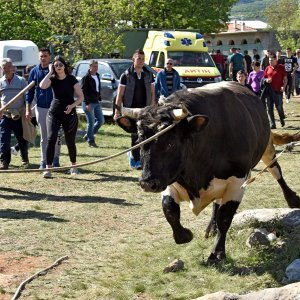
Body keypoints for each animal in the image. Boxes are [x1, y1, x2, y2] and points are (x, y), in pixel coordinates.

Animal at [116, 81, 298, 262]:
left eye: (171, 142)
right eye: (140, 140)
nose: (147, 183)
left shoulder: (237, 181)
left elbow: (225, 217)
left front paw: (217, 253)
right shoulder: (169, 179)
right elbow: (169, 209)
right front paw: (185, 235)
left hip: (267, 148)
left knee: (276, 172)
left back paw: (292, 199)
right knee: (217, 202)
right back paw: (212, 228)